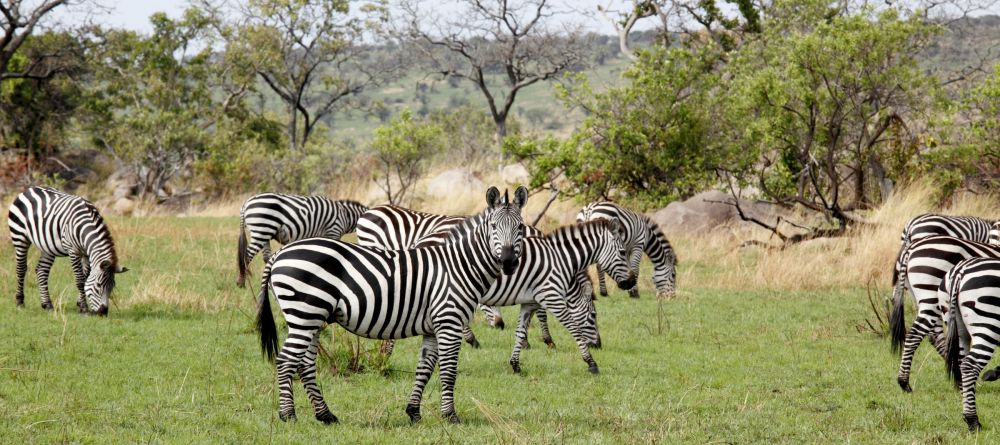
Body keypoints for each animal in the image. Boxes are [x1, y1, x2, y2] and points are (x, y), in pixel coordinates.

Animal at [7, 186, 128, 315]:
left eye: (112, 287)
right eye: (98, 285)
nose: (103, 312)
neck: (84, 228)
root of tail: (29, 189)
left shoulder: (86, 253)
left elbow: (85, 278)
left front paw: (80, 304)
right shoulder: (73, 251)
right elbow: (80, 280)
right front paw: (84, 308)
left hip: (47, 246)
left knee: (41, 270)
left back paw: (47, 305)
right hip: (19, 237)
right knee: (21, 269)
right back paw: (20, 302)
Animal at [236, 193, 368, 288]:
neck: (345, 216)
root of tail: (245, 204)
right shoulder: (333, 231)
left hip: (265, 234)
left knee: (266, 257)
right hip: (261, 229)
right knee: (246, 256)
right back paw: (242, 283)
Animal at [255, 186, 527, 424]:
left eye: (520, 228)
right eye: (494, 226)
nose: (508, 262)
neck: (458, 265)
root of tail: (280, 255)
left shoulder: (433, 327)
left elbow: (424, 369)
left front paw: (414, 413)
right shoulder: (449, 322)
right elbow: (449, 372)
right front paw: (451, 416)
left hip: (311, 319)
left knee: (305, 363)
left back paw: (325, 415)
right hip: (305, 314)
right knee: (286, 361)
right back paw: (288, 415)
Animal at [942, 257, 1000, 432]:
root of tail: (960, 271)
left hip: (958, 329)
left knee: (961, 363)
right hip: (988, 324)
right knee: (969, 365)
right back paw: (973, 421)